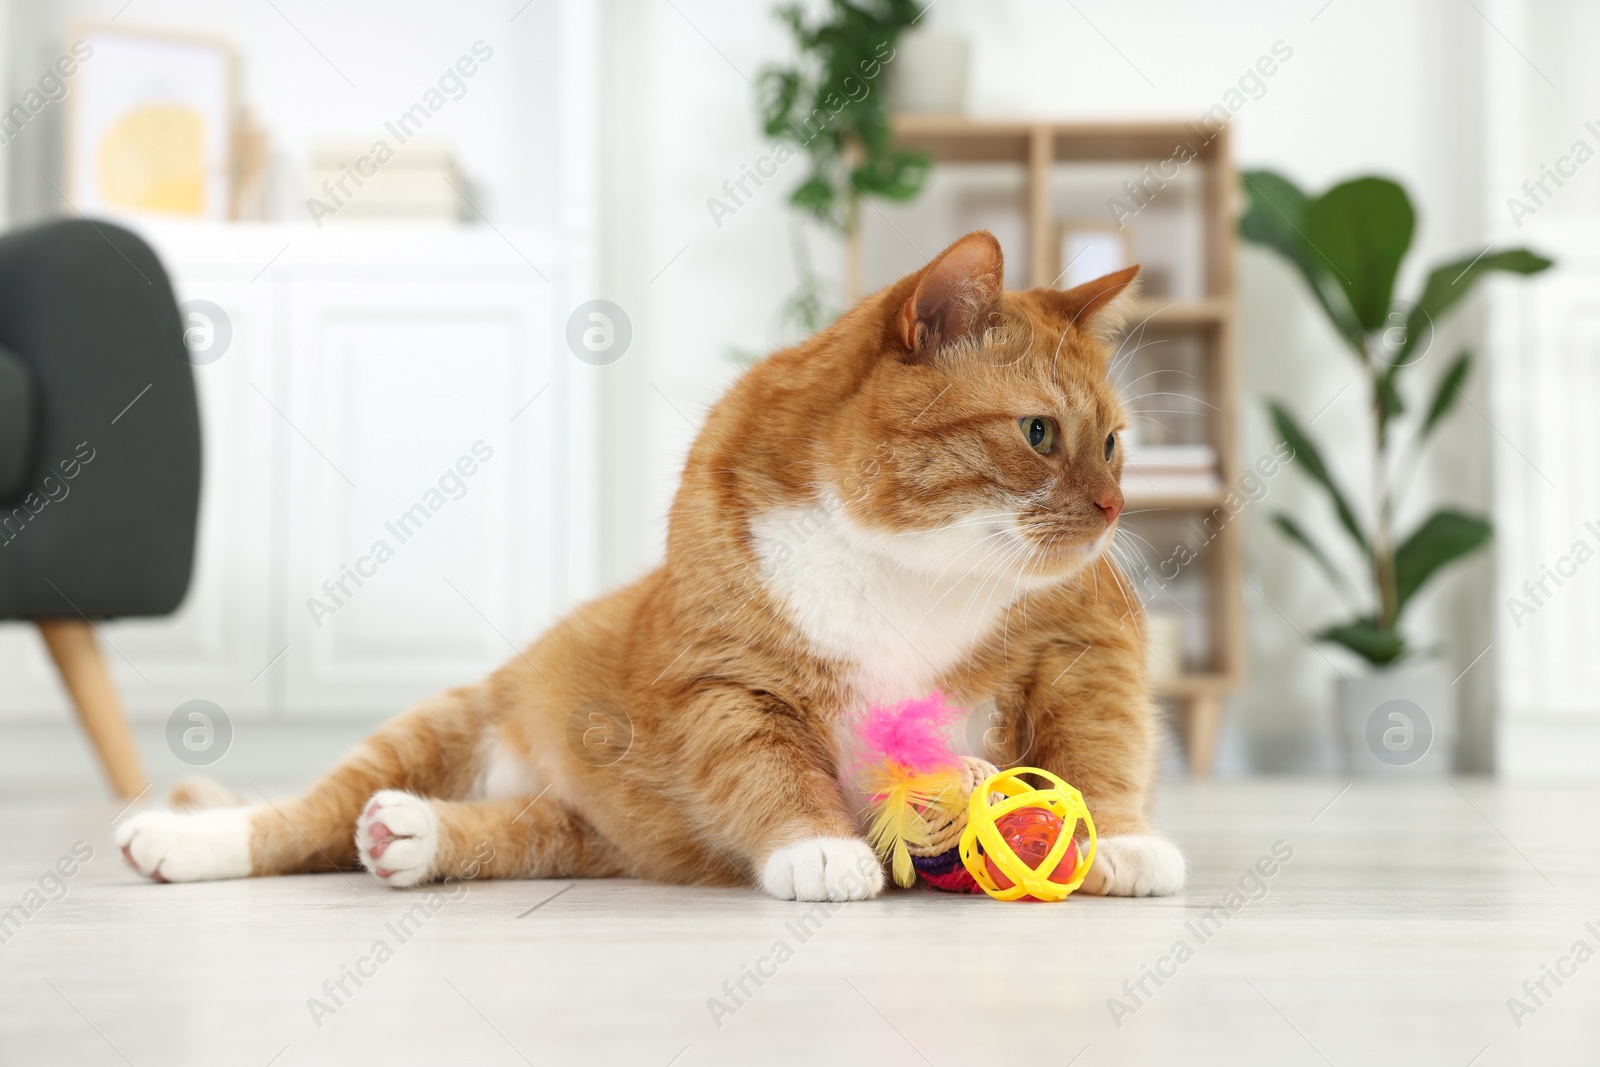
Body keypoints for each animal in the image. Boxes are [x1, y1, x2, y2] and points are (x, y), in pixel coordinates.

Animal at [116, 231, 1190, 902]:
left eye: (1116, 444)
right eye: (1040, 433)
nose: (1114, 508)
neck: (915, 566)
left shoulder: (1087, 648)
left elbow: (1099, 745)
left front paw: (1120, 838)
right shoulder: (722, 675)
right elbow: (764, 760)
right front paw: (818, 846)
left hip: (591, 832)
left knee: (515, 830)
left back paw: (414, 838)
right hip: (445, 720)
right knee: (304, 814)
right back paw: (184, 839)